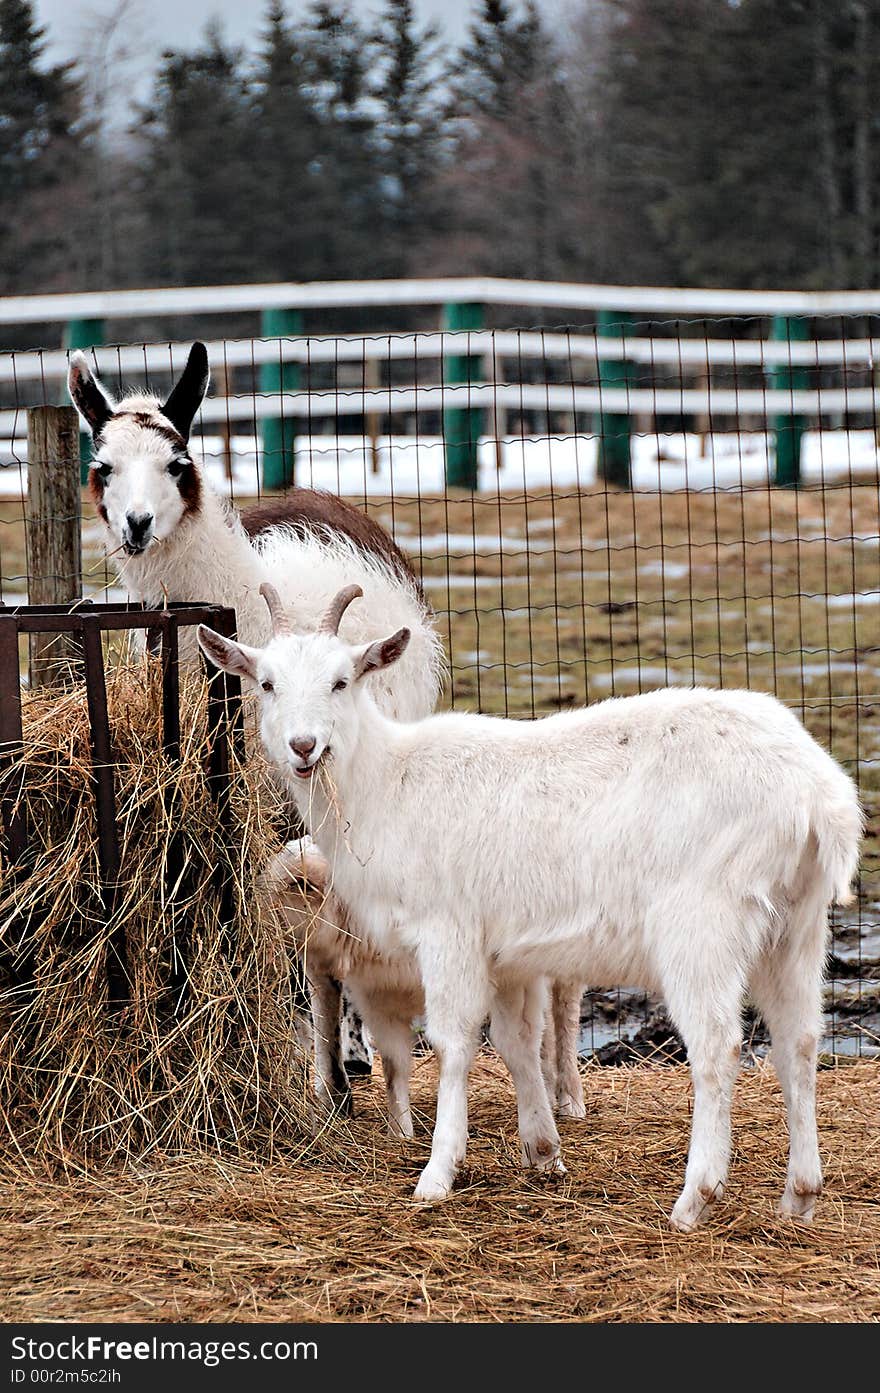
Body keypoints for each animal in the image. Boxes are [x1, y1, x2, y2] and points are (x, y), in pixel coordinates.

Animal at [197, 585, 857, 1231]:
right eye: (266, 683)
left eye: (342, 680)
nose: (303, 746)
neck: (386, 784)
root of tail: (818, 795)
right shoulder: (507, 956)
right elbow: (516, 1042)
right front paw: (543, 1153)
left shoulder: (448, 929)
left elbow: (453, 1043)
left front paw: (437, 1174)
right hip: (797, 925)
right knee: (799, 1038)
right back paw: (800, 1194)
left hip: (704, 921)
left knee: (718, 1045)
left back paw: (695, 1198)